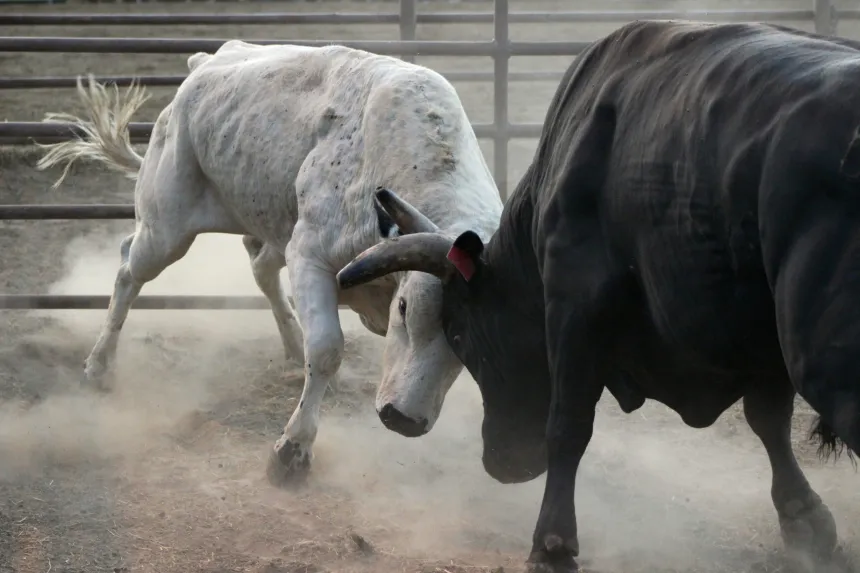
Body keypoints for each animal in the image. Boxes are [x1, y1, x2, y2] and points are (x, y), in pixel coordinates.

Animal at [35, 40, 503, 485]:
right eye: (404, 308)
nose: (402, 419)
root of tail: (204, 63)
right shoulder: (310, 257)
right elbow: (328, 350)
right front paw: (292, 451)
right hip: (165, 229)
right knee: (127, 270)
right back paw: (99, 365)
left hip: (268, 225)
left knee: (259, 268)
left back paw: (293, 345)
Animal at [335, 20, 860, 572]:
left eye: (457, 335)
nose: (499, 461)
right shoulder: (758, 338)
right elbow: (768, 420)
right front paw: (804, 519)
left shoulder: (574, 307)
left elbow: (569, 425)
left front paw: (552, 542)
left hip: (824, 358)